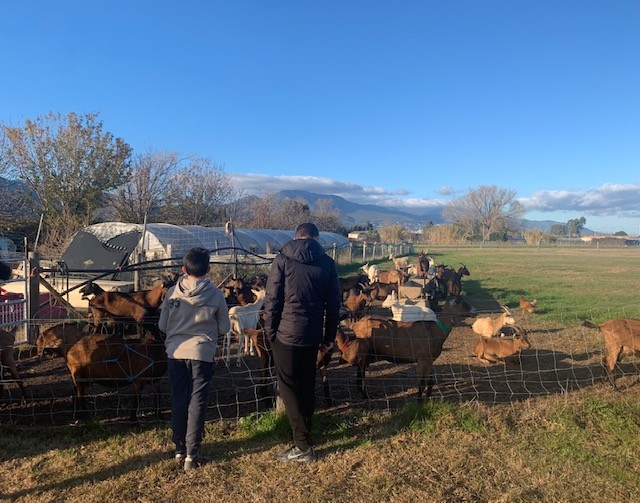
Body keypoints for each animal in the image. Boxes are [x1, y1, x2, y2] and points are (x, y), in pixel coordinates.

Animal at [340, 298, 476, 400]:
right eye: (459, 302)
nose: (474, 311)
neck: (435, 330)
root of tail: (355, 324)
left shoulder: (429, 360)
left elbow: (430, 382)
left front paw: (428, 399)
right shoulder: (422, 359)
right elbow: (421, 383)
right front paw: (419, 402)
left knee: (359, 372)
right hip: (363, 352)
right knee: (361, 374)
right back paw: (365, 395)